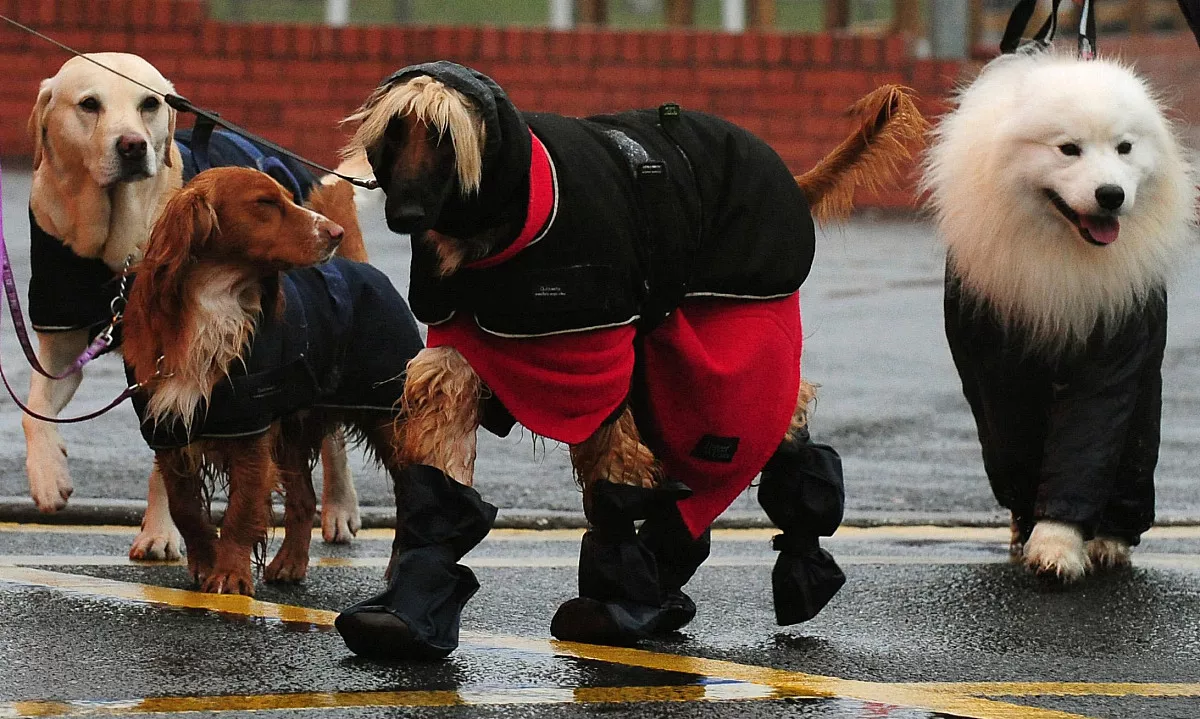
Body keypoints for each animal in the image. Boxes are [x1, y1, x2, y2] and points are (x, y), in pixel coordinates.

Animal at [921, 50, 1195, 583]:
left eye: (1125, 148)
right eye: (1068, 149)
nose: (1111, 194)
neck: (1062, 259)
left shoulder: (1115, 346)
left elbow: (1088, 442)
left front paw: (1058, 546)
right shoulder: (999, 364)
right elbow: (1020, 444)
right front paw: (1043, 537)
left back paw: (1110, 539)